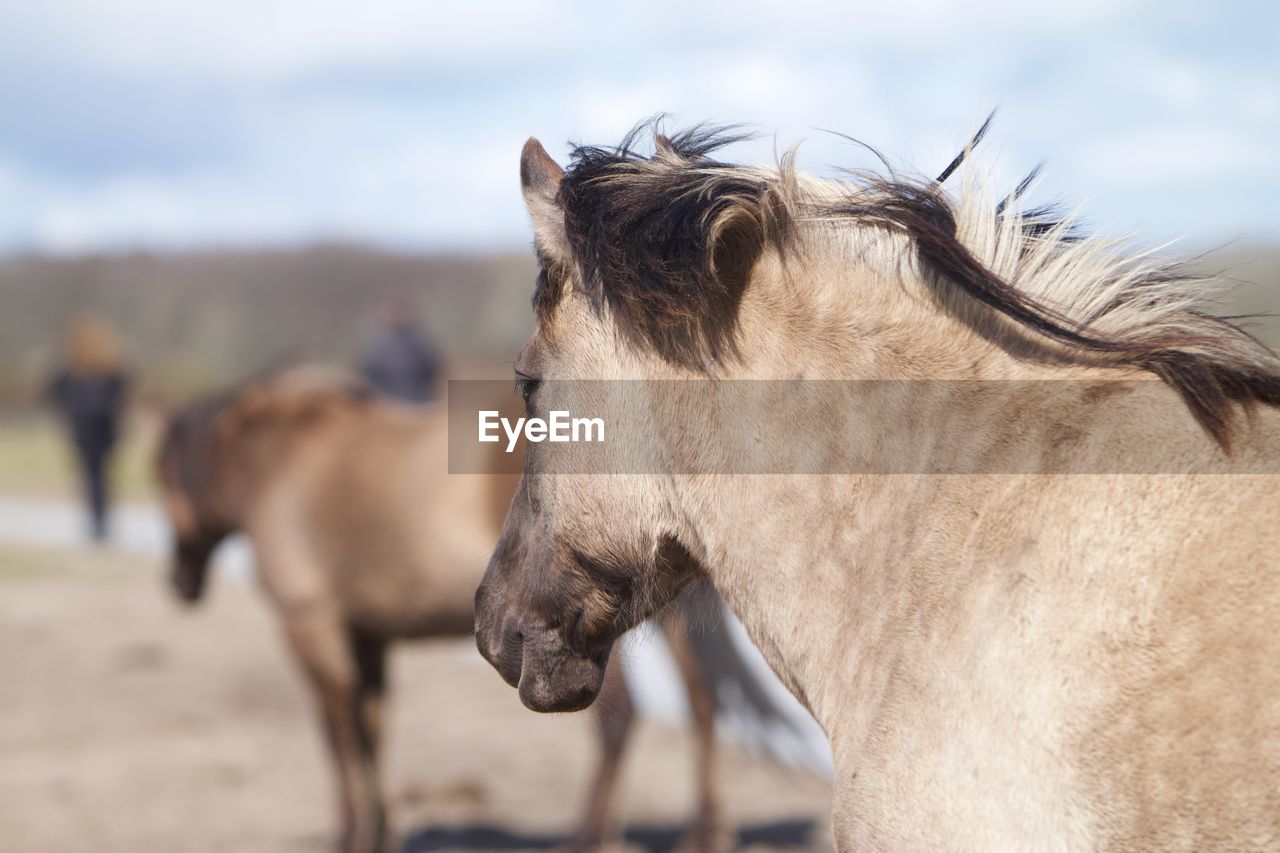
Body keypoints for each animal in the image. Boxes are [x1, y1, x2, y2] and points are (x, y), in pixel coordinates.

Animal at [152, 366, 788, 850]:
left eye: (163, 477)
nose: (179, 584)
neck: (286, 459)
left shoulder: (311, 625)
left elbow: (338, 733)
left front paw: (352, 833)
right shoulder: (367, 634)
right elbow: (371, 727)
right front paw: (379, 831)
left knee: (619, 719)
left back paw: (588, 838)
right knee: (703, 707)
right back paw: (703, 833)